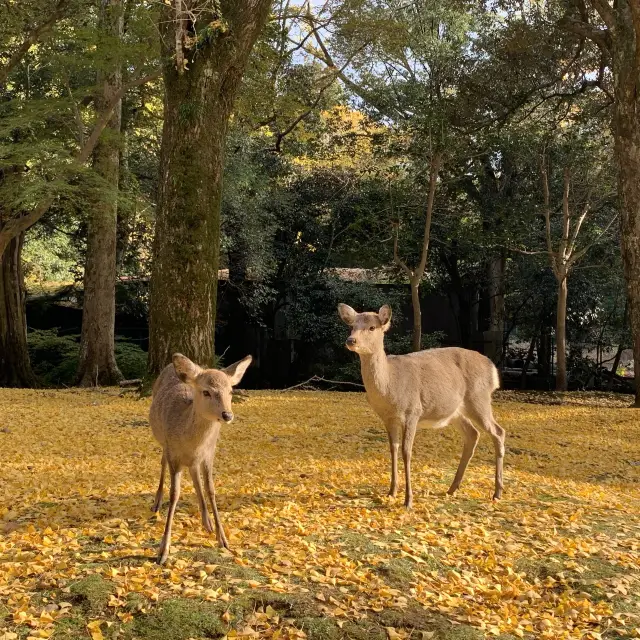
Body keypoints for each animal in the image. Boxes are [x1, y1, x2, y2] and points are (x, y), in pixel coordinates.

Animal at [149, 350, 251, 564]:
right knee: (162, 463)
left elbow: (210, 490)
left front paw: (223, 539)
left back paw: (207, 522)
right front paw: (163, 551)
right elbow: (175, 493)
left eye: (231, 391)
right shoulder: (173, 453)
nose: (227, 415)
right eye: (206, 392)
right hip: (162, 442)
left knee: (195, 475)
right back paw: (156, 503)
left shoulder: (209, 453)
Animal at [338, 302, 508, 508]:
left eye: (372, 327)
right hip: (456, 412)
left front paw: (408, 500)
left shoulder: (413, 411)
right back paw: (452, 488)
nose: (351, 340)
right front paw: (391, 492)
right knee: (473, 434)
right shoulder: (388, 418)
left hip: (479, 398)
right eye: (352, 326)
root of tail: (493, 371)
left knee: (498, 431)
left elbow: (406, 452)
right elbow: (393, 449)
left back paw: (497, 493)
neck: (390, 386)